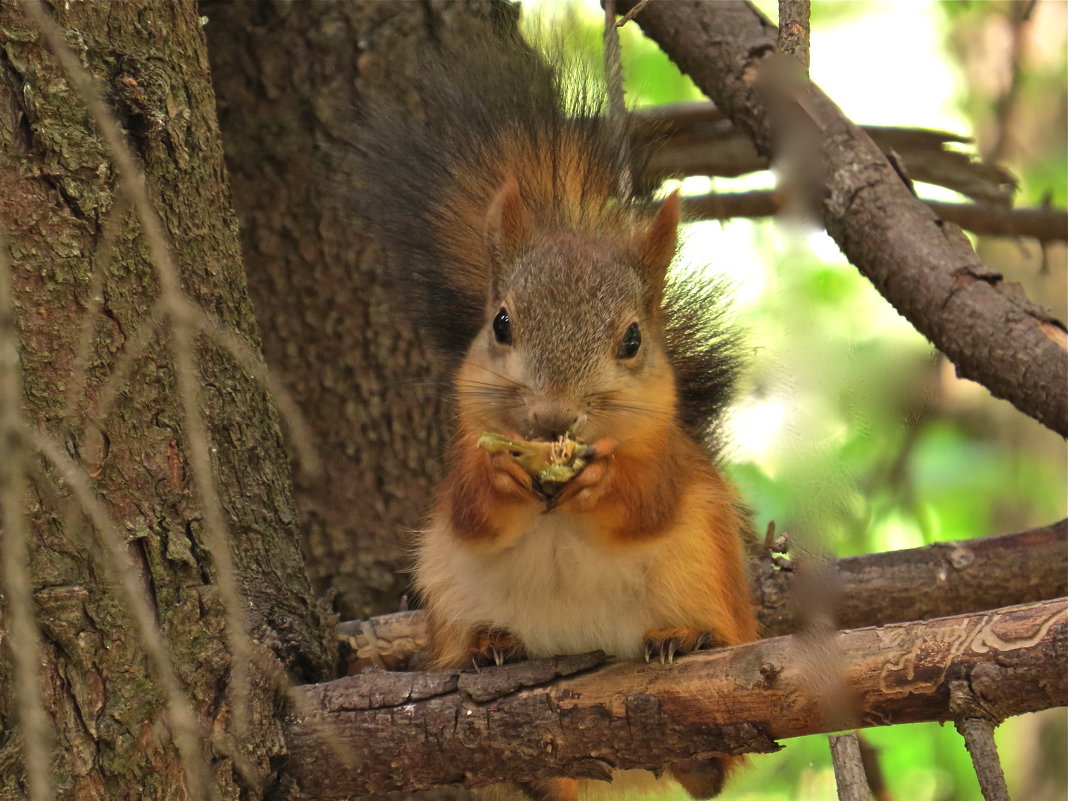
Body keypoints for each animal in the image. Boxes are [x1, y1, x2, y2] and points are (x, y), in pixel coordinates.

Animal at [354, 31, 764, 801]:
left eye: (632, 340)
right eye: (501, 323)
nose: (552, 420)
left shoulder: (672, 461)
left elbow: (647, 499)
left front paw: (604, 483)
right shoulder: (458, 460)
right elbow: (470, 507)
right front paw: (501, 477)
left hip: (714, 585)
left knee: (712, 765)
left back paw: (687, 655)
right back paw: (492, 651)